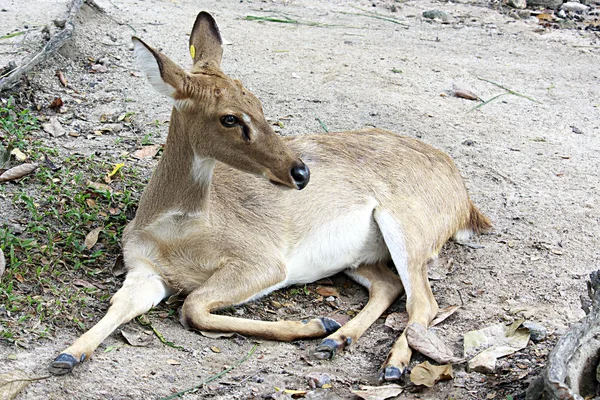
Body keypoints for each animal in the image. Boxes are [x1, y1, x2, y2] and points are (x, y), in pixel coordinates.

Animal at [49, 10, 492, 380]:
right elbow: (120, 304)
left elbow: (192, 308)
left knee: (424, 302)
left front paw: (314, 323)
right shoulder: (145, 270)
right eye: (229, 118)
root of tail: (466, 202)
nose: (301, 172)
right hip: (360, 256)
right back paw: (336, 340)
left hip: (407, 228)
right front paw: (67, 355)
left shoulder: (262, 262)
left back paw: (389, 365)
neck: (177, 231)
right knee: (389, 286)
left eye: (259, 104)